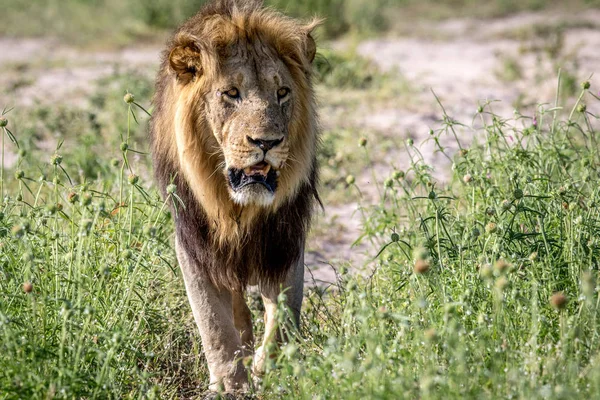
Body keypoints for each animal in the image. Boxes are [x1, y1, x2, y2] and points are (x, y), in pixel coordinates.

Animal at [148, 0, 322, 394]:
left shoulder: (285, 243)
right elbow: (214, 324)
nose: (267, 142)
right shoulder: (195, 246)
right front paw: (231, 385)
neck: (238, 207)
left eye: (282, 92)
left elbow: (283, 319)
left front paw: (267, 372)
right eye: (231, 93)